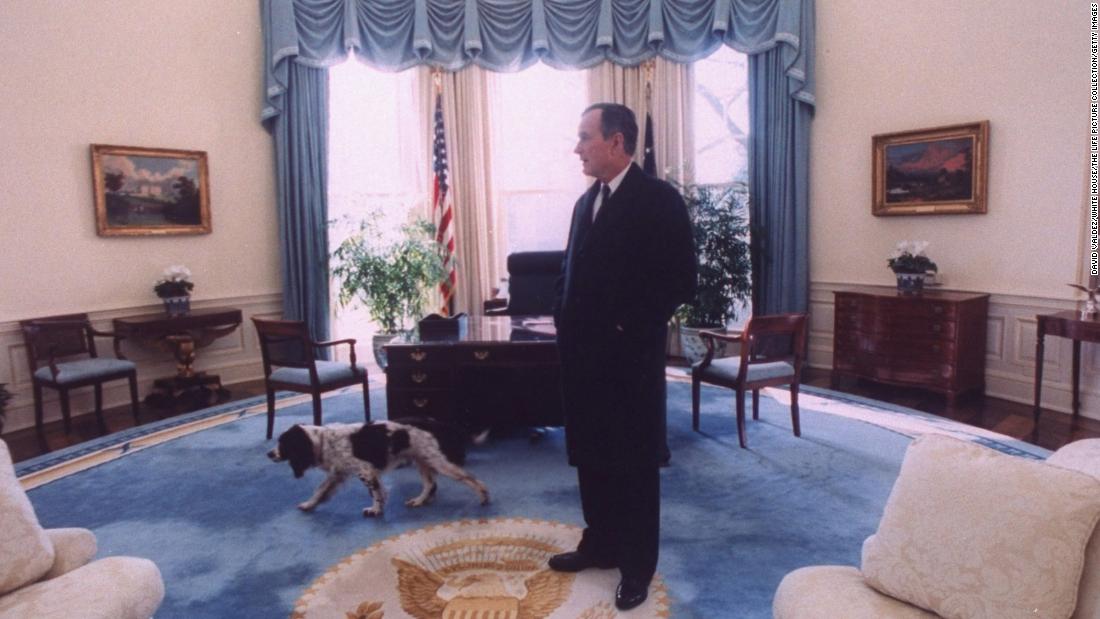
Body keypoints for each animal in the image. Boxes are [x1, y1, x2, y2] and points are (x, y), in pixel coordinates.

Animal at [266, 415, 490, 518]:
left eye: (283, 444)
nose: (269, 454)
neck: (323, 442)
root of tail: (434, 422)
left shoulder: (365, 471)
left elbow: (375, 493)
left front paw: (375, 510)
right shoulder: (338, 473)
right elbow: (320, 491)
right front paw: (308, 505)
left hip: (438, 461)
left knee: (469, 477)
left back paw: (484, 496)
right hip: (422, 460)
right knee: (430, 485)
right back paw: (418, 501)